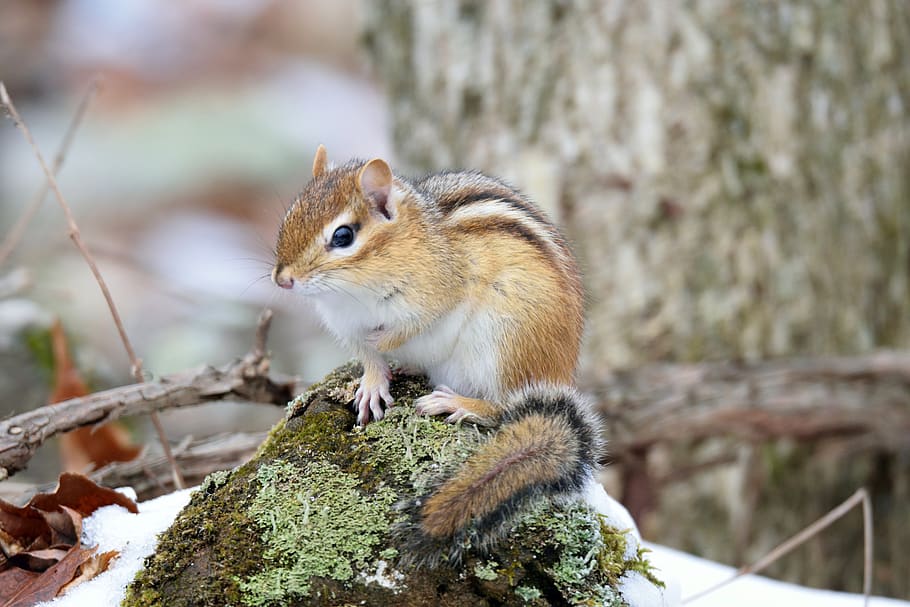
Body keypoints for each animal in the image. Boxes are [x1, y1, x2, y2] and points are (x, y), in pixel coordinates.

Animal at [272, 145, 603, 565]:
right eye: (289, 217)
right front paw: (371, 387)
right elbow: (370, 359)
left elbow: (408, 328)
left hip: (505, 341)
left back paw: (456, 403)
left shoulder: (438, 292)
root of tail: (561, 374)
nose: (282, 280)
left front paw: (386, 341)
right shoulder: (347, 329)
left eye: (343, 236)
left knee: (502, 405)